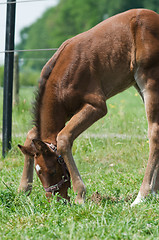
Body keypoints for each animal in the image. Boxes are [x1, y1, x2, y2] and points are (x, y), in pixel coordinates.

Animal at [18, 8, 159, 205]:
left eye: (52, 171)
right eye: (39, 174)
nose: (56, 201)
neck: (60, 79)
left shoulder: (97, 106)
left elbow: (64, 138)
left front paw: (80, 195)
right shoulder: (68, 110)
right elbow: (31, 134)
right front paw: (23, 189)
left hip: (149, 80)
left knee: (154, 133)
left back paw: (143, 195)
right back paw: (154, 191)